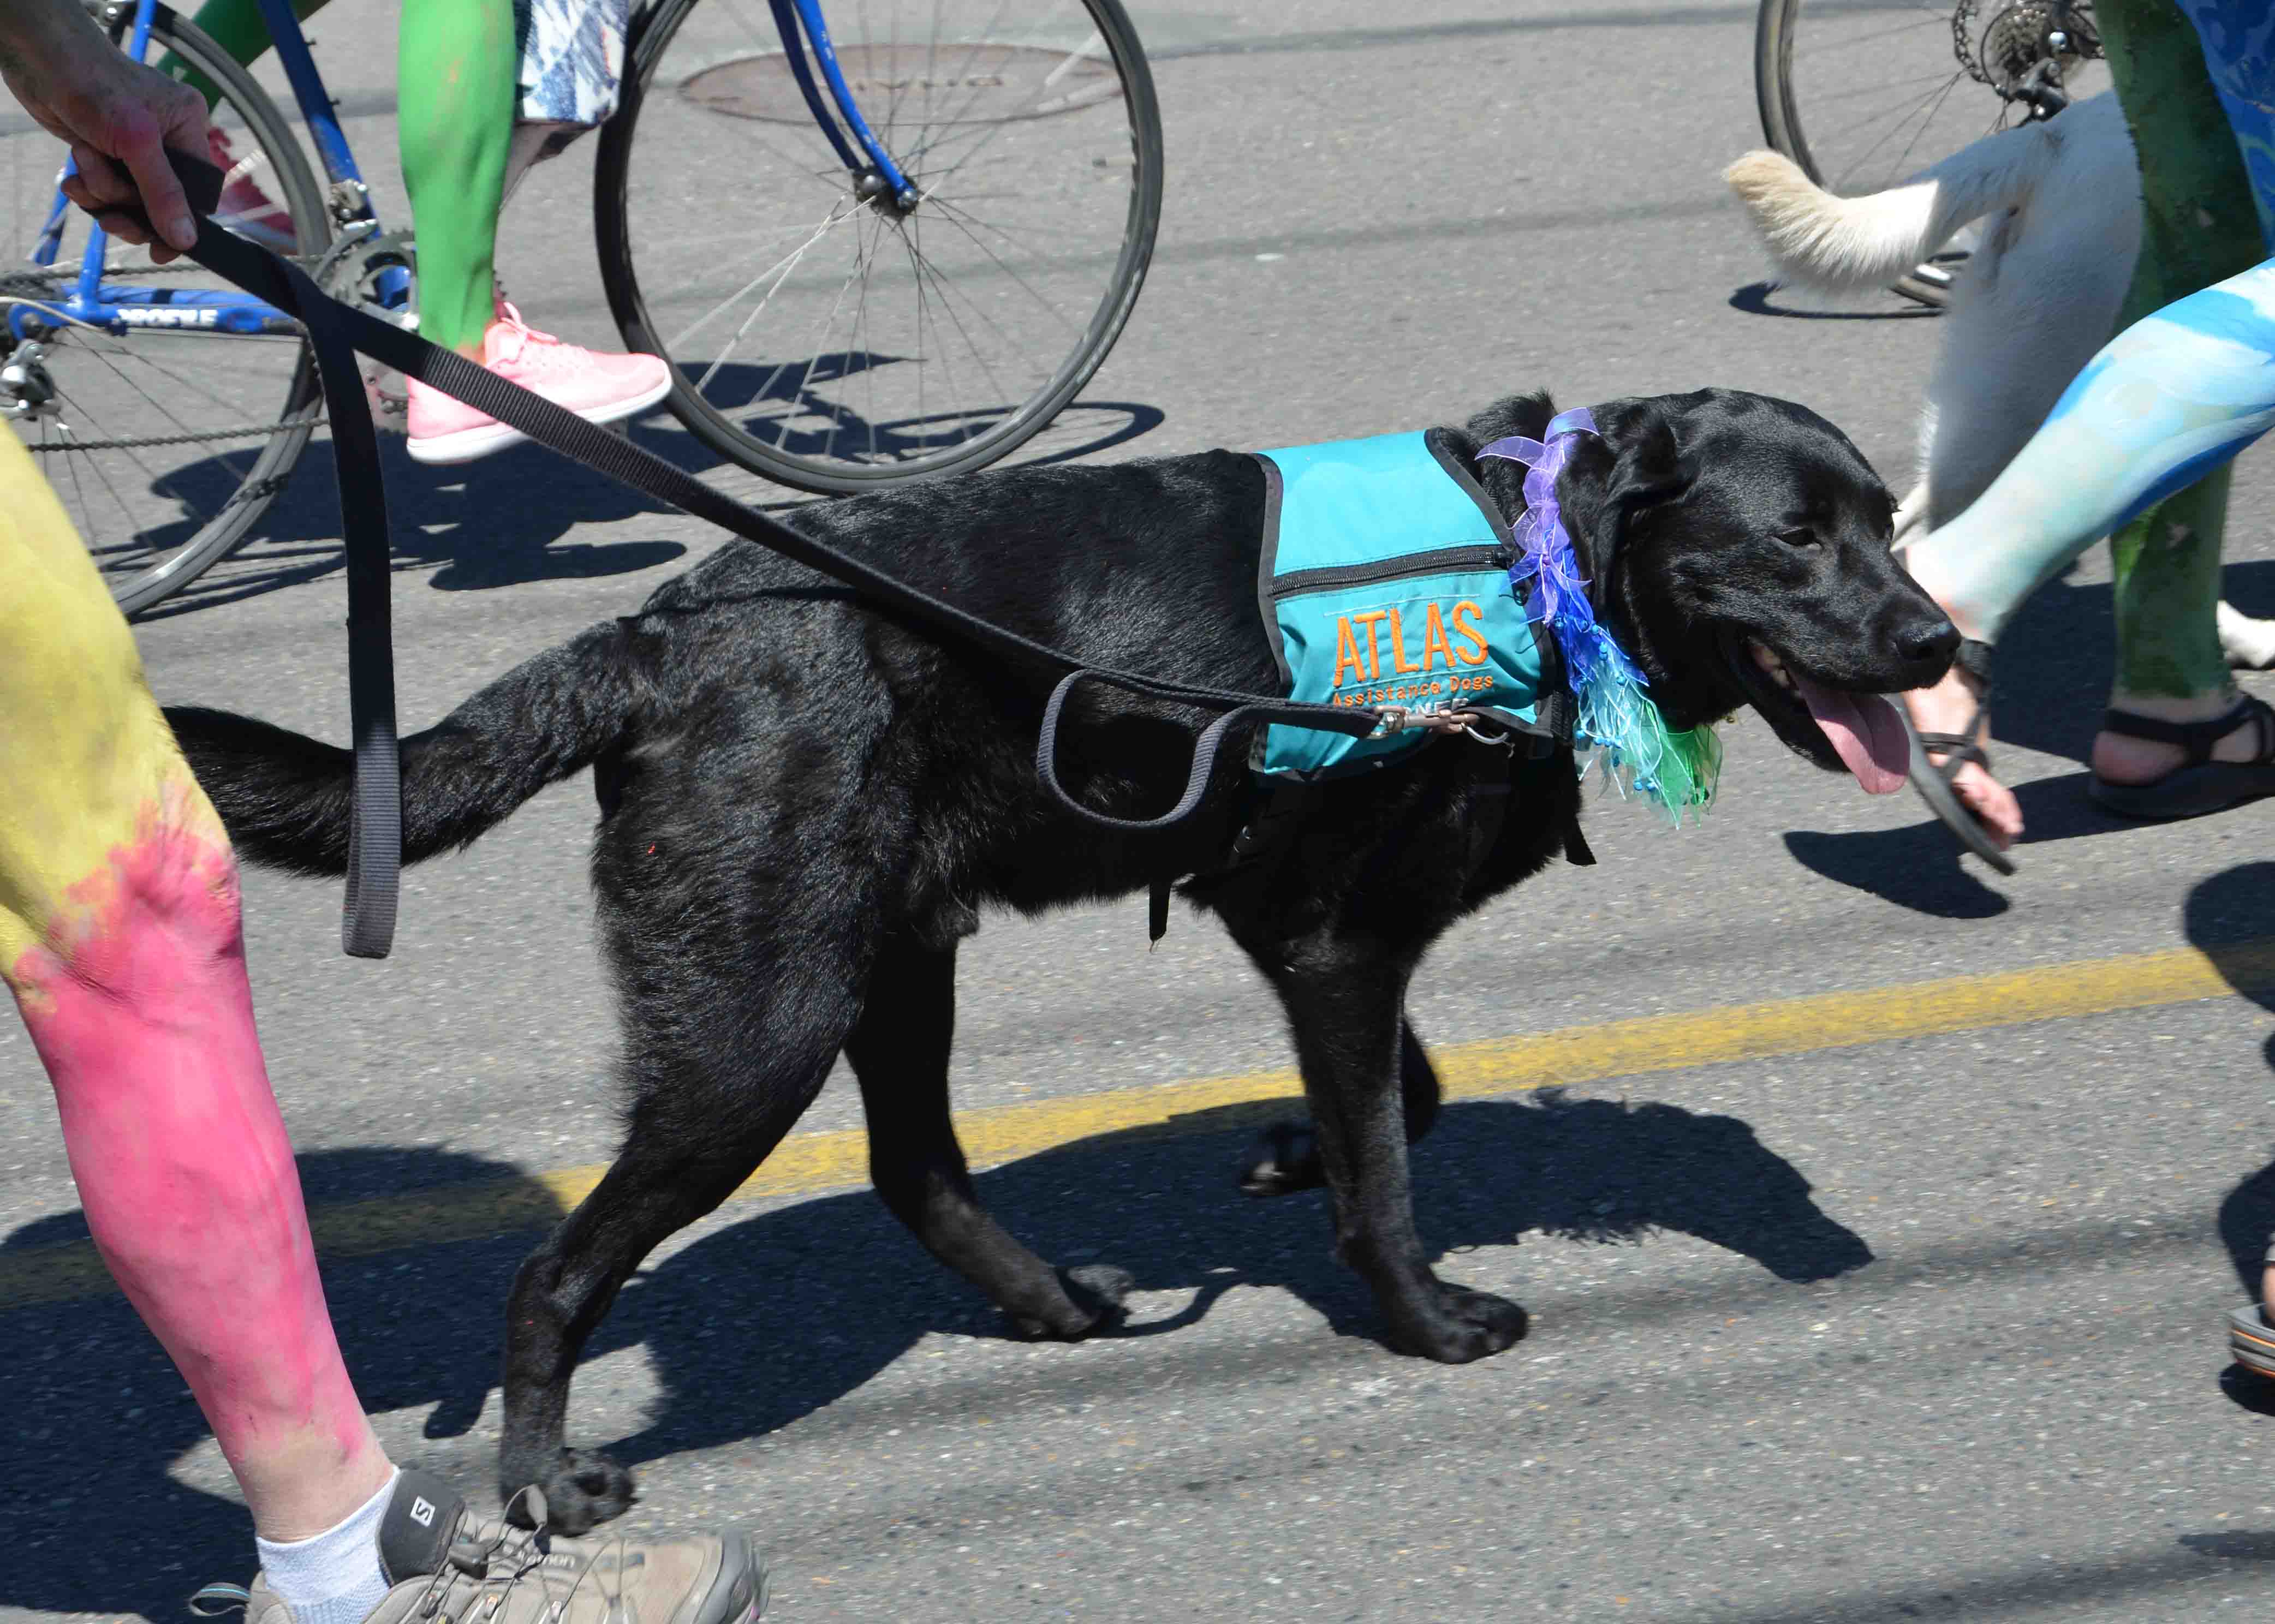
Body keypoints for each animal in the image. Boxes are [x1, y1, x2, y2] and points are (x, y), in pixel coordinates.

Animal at [172, 386, 1956, 1528]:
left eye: (1887, 520)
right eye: (1796, 539)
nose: (1942, 641)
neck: (1535, 561)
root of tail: (658, 634)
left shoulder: (1299, 925)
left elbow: (1404, 1100)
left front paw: (1293, 1151)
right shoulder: (1334, 935)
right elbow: (1391, 1165)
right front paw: (1421, 1315)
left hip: (893, 955)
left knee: (912, 1164)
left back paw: (1047, 1299)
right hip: (762, 1020)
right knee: (560, 1269)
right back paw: (541, 1479)